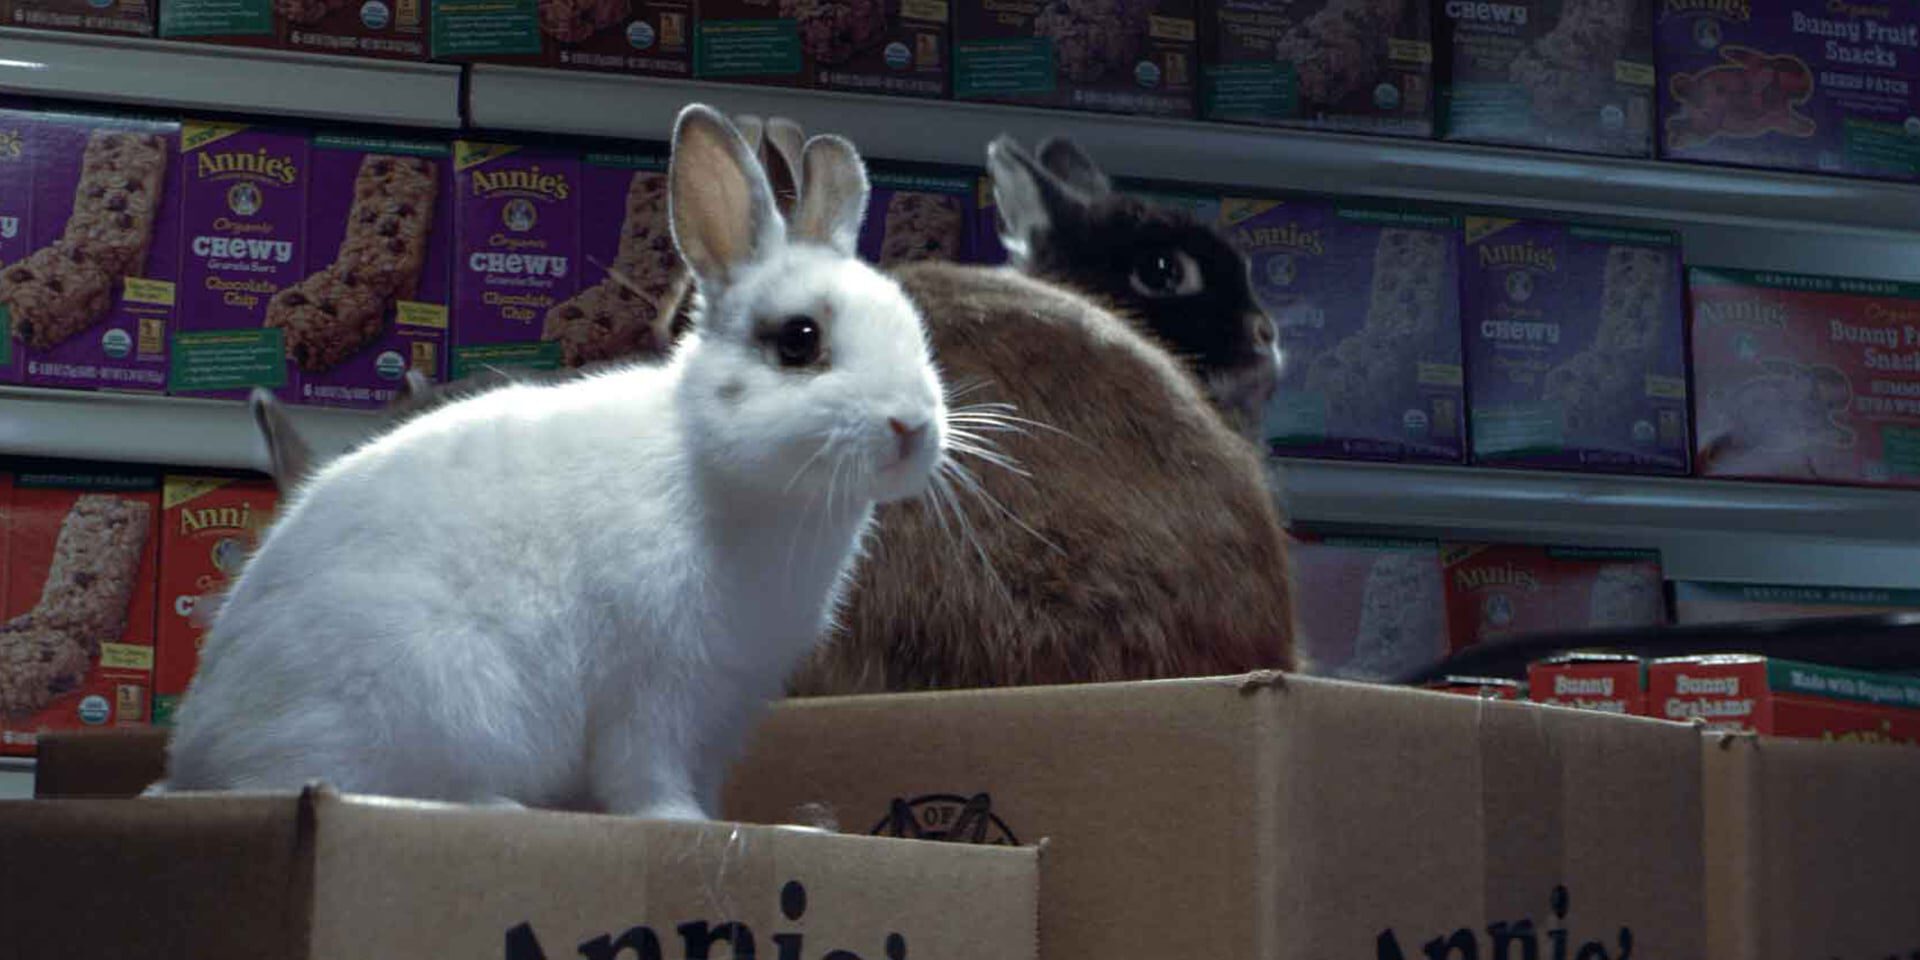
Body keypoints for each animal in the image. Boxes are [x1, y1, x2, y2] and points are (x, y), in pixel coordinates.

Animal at [156, 104, 948, 819]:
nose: (912, 425)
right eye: (799, 340)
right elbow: (646, 777)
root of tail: (200, 765)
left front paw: (739, 820)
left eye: (916, 330)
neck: (717, 469)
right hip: (442, 706)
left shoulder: (726, 707)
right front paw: (680, 824)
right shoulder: (655, 691)